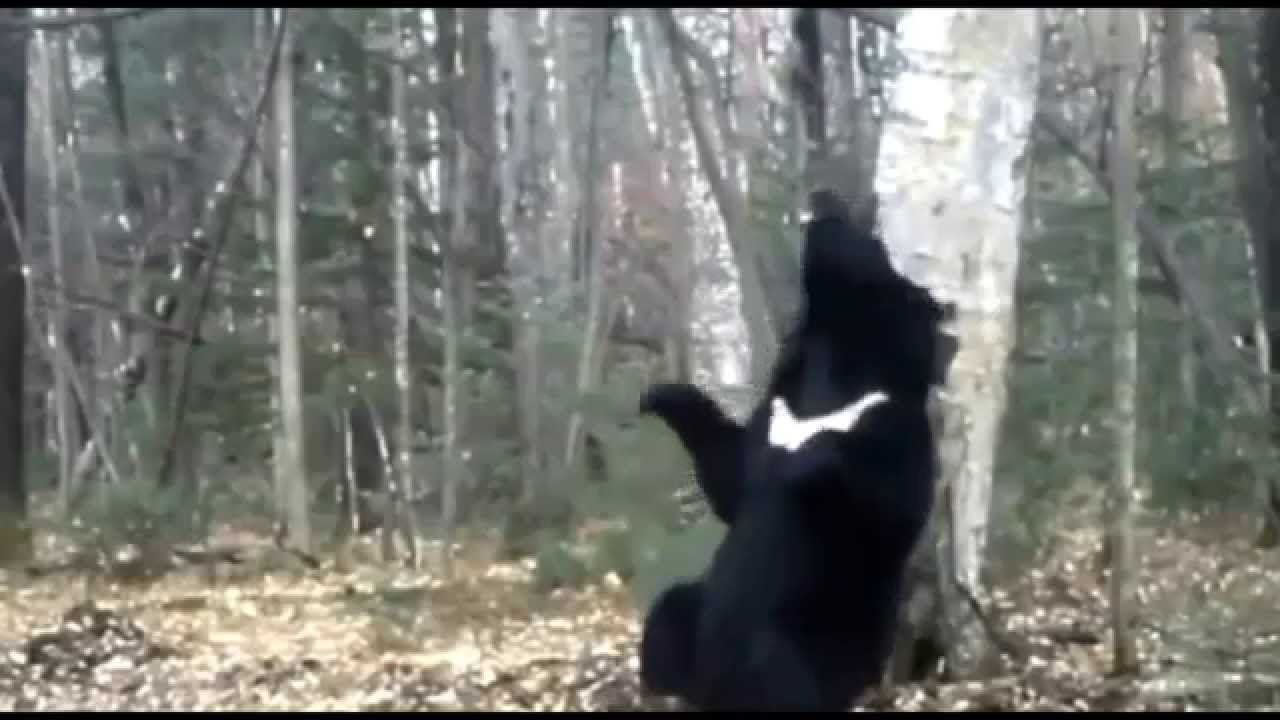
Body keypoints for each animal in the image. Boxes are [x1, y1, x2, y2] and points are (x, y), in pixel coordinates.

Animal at [637, 191, 956, 711]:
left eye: (874, 244)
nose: (826, 201)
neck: (839, 360)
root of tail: (711, 684)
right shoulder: (775, 411)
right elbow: (731, 473)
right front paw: (659, 395)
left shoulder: (892, 424)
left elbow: (892, 507)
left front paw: (810, 462)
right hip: (695, 610)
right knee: (667, 615)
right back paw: (663, 688)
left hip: (815, 639)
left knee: (782, 675)